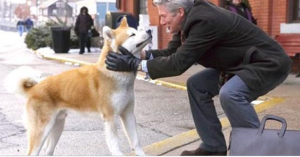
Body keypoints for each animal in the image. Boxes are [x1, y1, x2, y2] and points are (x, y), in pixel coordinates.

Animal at [5, 18, 152, 156]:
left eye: (137, 30)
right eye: (132, 34)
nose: (150, 30)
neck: (115, 73)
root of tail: (34, 88)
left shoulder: (128, 114)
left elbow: (136, 142)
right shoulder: (110, 117)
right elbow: (115, 145)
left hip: (57, 126)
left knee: (48, 151)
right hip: (42, 129)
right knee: (33, 152)